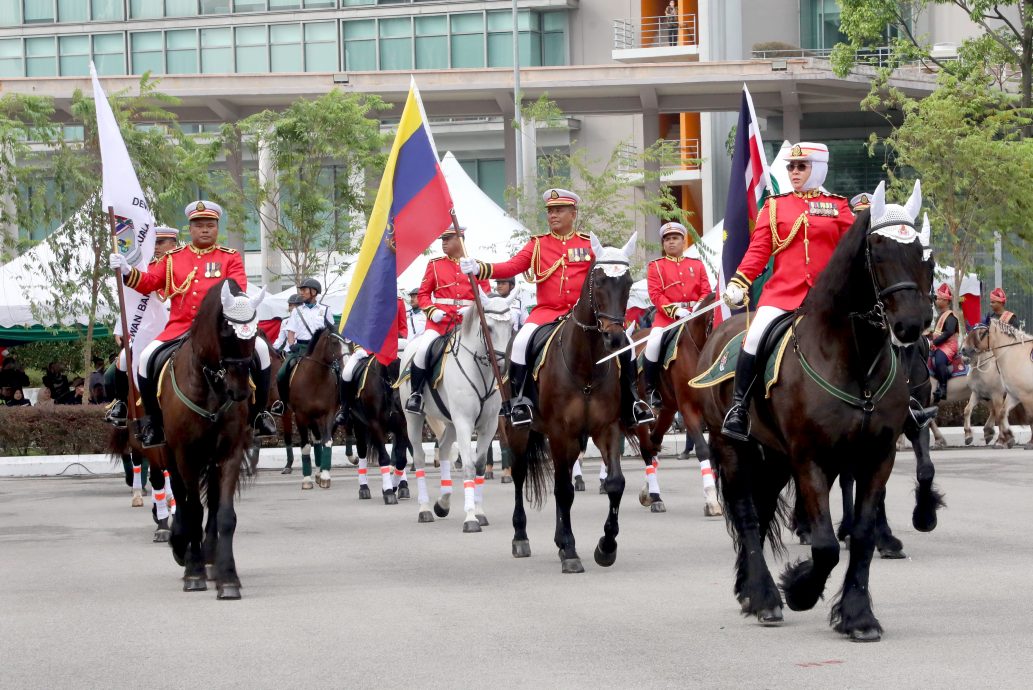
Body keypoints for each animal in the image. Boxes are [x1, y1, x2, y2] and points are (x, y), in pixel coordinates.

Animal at [163, 280, 264, 599]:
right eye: (227, 333)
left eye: (255, 333)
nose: (241, 392)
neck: (211, 386)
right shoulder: (185, 455)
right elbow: (194, 510)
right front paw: (193, 572)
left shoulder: (230, 452)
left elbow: (225, 515)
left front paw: (228, 577)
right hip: (169, 454)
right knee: (183, 500)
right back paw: (184, 549)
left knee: (214, 502)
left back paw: (210, 559)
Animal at [400, 293, 516, 532]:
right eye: (489, 327)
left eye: (511, 326)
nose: (502, 366)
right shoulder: (464, 422)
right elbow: (469, 467)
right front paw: (470, 518)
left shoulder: (489, 425)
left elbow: (479, 466)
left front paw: (479, 512)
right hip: (414, 419)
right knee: (418, 456)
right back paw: (425, 509)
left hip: (450, 422)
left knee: (444, 449)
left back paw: (443, 502)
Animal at [508, 235, 636, 570]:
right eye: (599, 280)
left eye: (629, 282)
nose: (615, 339)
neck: (587, 364)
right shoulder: (559, 432)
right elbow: (563, 490)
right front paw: (569, 550)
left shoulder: (607, 428)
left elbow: (615, 483)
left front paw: (606, 546)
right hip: (518, 431)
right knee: (519, 475)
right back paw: (520, 537)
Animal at [628, 289, 718, 514]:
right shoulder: (688, 409)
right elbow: (703, 449)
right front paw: (711, 499)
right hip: (643, 413)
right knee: (646, 448)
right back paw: (656, 497)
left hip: (668, 411)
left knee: (654, 443)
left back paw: (649, 492)